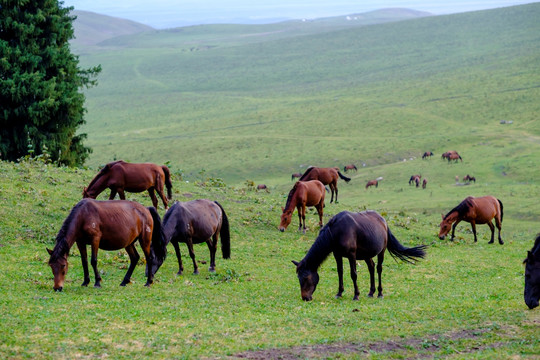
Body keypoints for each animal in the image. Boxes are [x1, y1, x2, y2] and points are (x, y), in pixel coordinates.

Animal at [294, 211, 428, 300]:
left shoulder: (351, 255)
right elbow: (340, 272)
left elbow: (353, 274)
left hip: (381, 252)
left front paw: (356, 295)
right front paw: (339, 293)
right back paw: (371, 292)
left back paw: (379, 293)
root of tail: (384, 221)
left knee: (379, 269)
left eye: (305, 278)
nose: (305, 298)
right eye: (298, 278)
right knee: (371, 267)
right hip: (366, 255)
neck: (336, 232)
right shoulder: (337, 254)